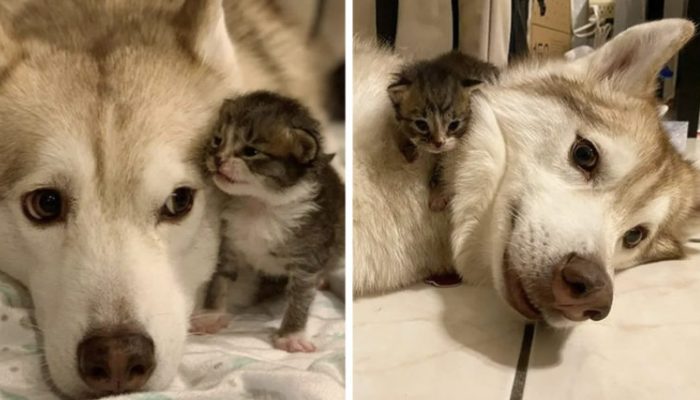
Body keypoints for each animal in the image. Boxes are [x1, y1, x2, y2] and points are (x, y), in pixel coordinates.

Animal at [191, 90, 344, 354]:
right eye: (217, 140)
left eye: (251, 152)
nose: (218, 159)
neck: (259, 204)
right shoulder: (230, 243)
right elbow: (219, 280)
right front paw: (211, 315)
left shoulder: (307, 256)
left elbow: (300, 296)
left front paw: (291, 336)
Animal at [388, 51, 498, 211]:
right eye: (421, 125)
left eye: (453, 125)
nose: (438, 143)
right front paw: (409, 149)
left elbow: (444, 165)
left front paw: (438, 194)